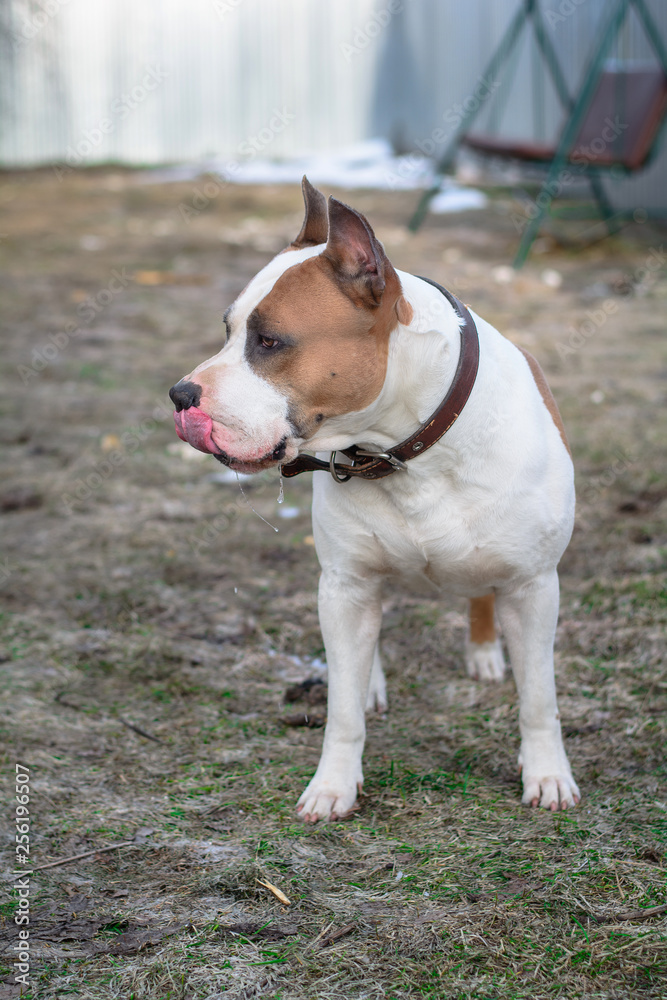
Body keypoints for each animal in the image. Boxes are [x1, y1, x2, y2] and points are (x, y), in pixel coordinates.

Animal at [170, 180, 580, 820]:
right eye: (227, 330)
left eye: (269, 341)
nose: (179, 394)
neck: (405, 450)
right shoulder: (346, 585)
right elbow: (340, 708)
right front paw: (333, 784)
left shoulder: (534, 586)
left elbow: (539, 697)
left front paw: (547, 775)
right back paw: (373, 681)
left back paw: (485, 652)